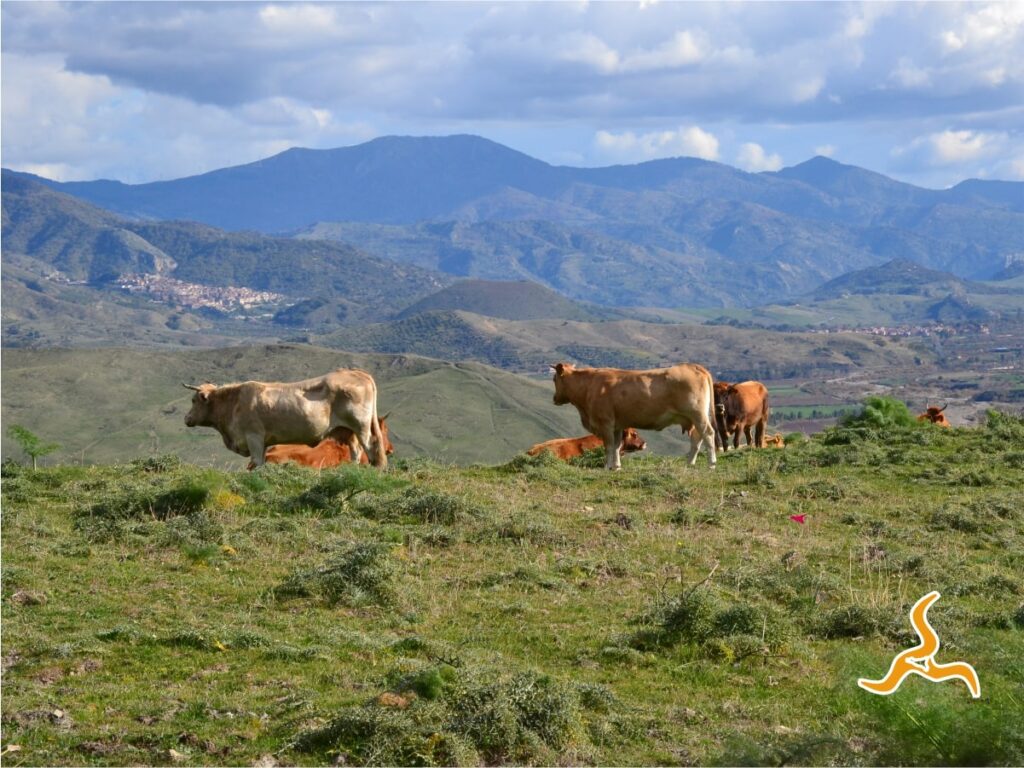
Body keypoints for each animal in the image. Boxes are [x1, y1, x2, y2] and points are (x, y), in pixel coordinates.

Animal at [184, 368, 387, 468]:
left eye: (193, 400)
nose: (186, 418)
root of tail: (357, 373)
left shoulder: (254, 437)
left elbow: (256, 463)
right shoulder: (263, 442)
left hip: (361, 427)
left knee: (371, 448)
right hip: (348, 431)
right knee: (356, 452)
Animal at [548, 364, 716, 473]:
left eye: (554, 379)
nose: (554, 398)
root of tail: (692, 366)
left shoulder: (605, 423)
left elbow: (609, 447)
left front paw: (606, 467)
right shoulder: (617, 425)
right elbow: (617, 446)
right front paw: (616, 467)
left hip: (697, 414)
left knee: (708, 434)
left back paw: (711, 464)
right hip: (693, 418)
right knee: (697, 437)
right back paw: (690, 463)